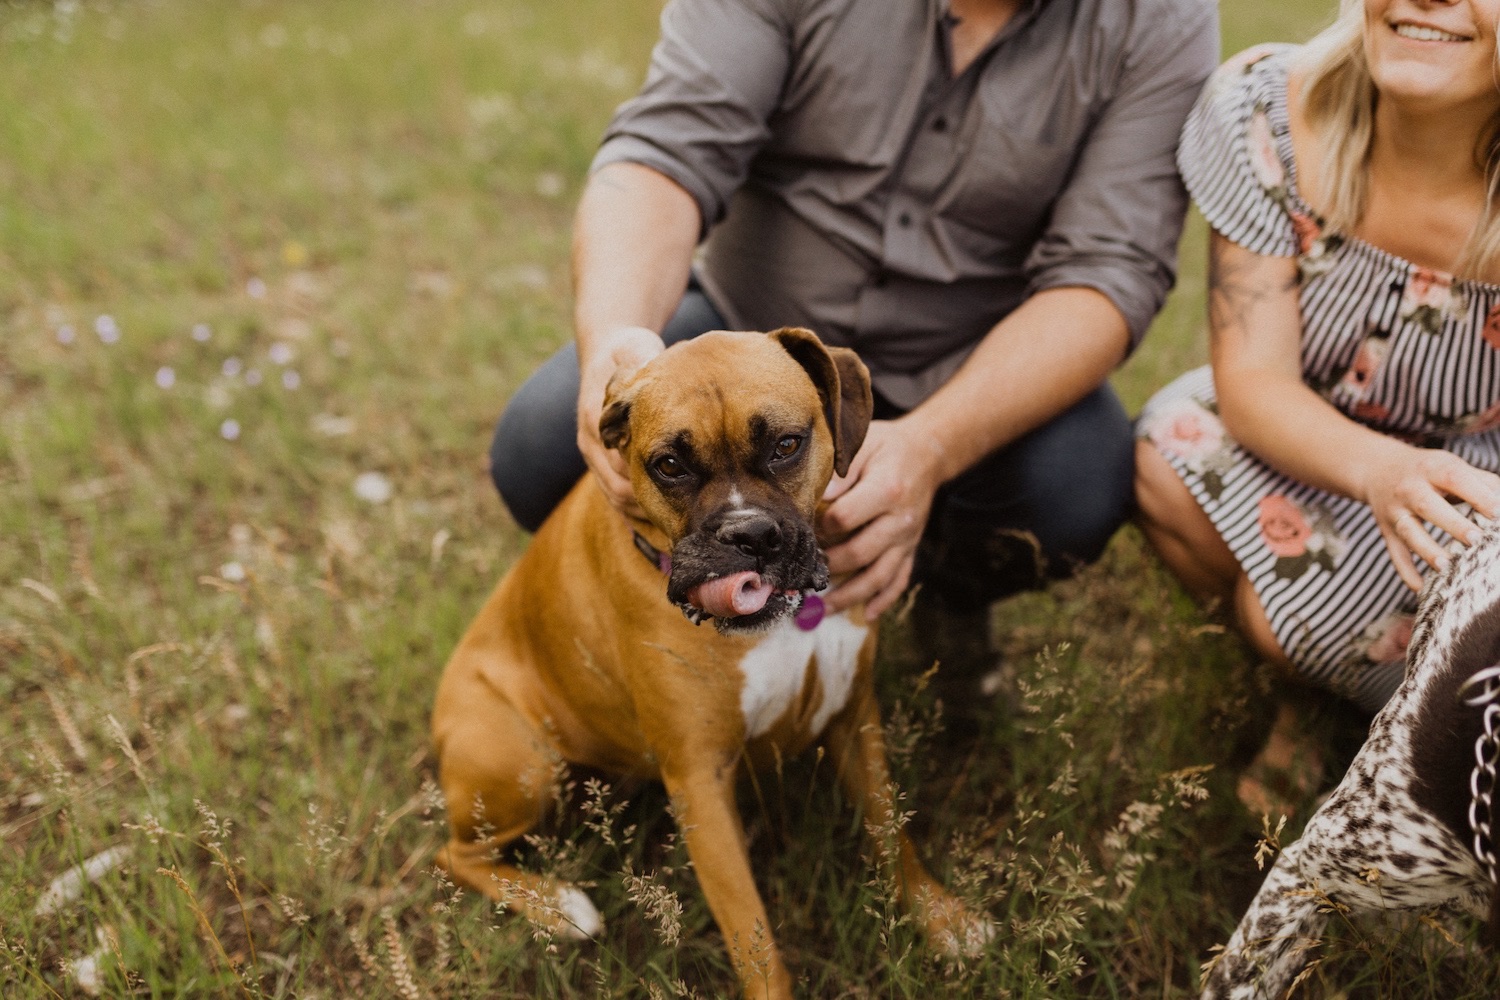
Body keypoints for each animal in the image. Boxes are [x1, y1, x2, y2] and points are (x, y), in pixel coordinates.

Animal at [435, 326, 990, 995]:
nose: (748, 534)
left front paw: (941, 916)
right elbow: (752, 934)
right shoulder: (701, 782)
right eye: (670, 465)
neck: (783, 622)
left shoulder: (855, 717)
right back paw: (558, 906)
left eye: (786, 445)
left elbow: (890, 830)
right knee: (455, 855)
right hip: (525, 764)